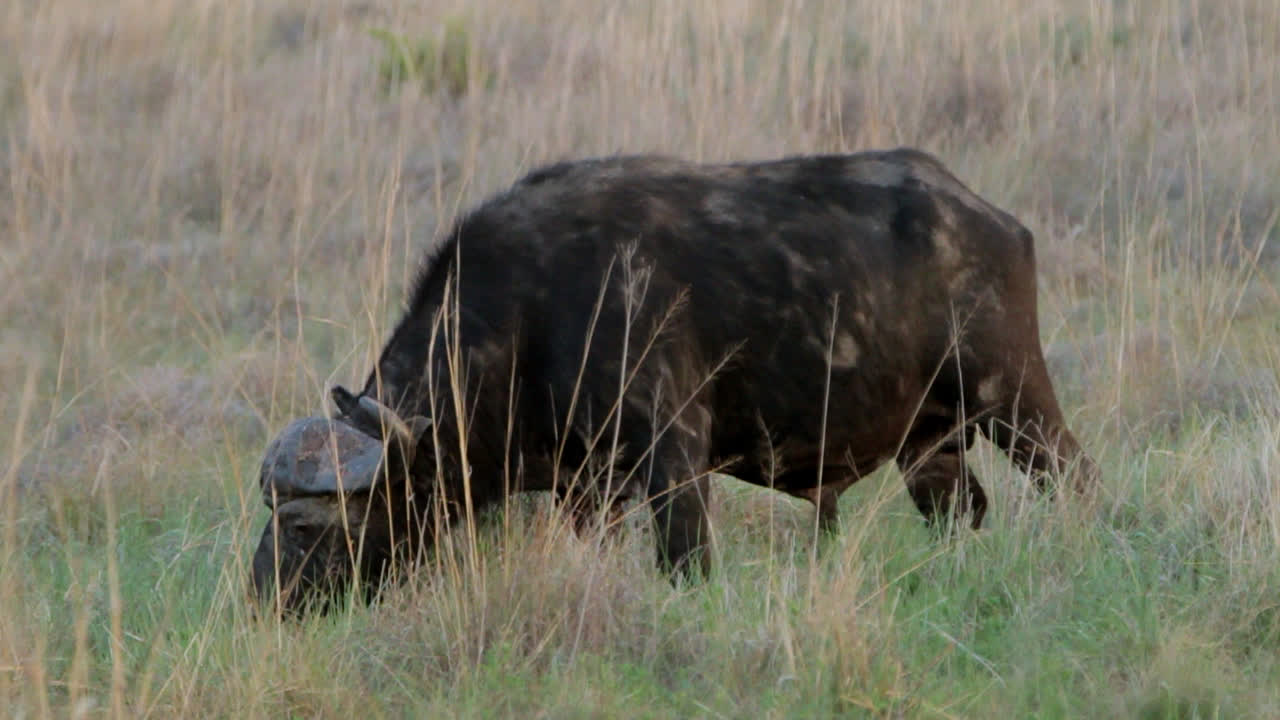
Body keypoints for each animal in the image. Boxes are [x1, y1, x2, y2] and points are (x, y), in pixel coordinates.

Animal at [250, 148, 1099, 614]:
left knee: (1076, 478)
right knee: (963, 512)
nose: (264, 601)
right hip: (931, 448)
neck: (530, 310)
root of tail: (990, 219)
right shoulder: (584, 490)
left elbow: (686, 562)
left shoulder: (675, 460)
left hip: (1014, 398)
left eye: (306, 528)